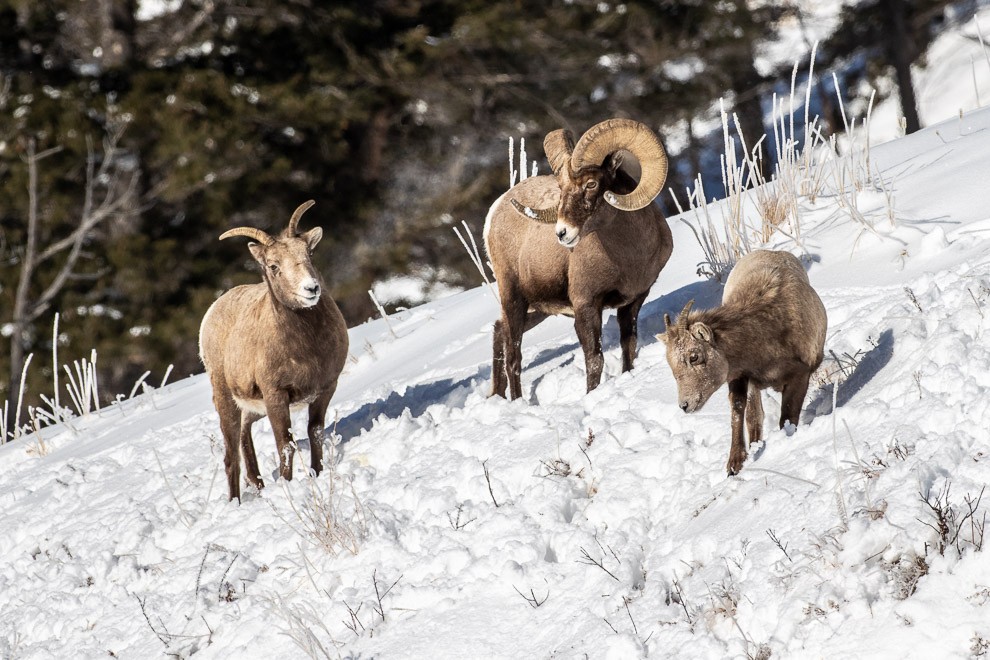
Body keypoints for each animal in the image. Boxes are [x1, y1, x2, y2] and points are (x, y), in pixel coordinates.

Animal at [198, 201, 348, 500]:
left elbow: (315, 433)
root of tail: (212, 312)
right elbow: (285, 445)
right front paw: (288, 486)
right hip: (226, 400)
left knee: (245, 435)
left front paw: (317, 473)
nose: (311, 288)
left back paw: (258, 484)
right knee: (231, 455)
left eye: (309, 254)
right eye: (273, 265)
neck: (304, 350)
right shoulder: (276, 395)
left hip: (254, 408)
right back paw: (236, 502)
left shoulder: (326, 388)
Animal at [486, 116, 676, 400]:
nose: (562, 233)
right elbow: (594, 359)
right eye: (561, 188)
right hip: (514, 300)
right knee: (513, 358)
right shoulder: (586, 306)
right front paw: (591, 396)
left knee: (499, 330)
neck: (628, 257)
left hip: (537, 309)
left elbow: (629, 347)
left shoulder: (633, 301)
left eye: (591, 183)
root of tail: (494, 212)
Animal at [660, 249, 828, 474]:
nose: (685, 405)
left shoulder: (799, 376)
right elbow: (739, 411)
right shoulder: (740, 377)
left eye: (694, 356)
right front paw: (734, 464)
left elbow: (787, 417)